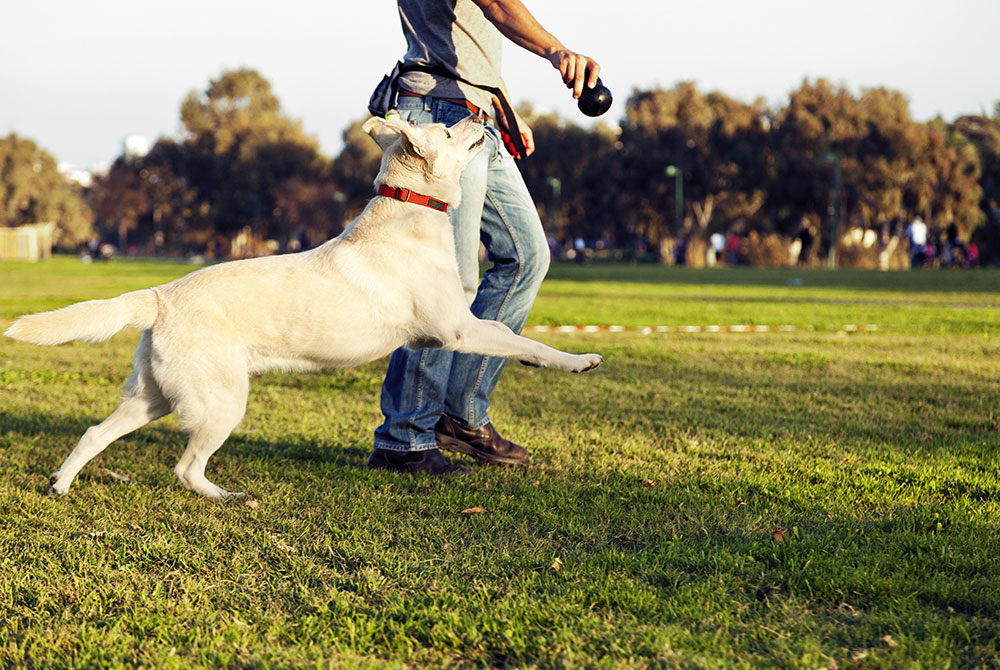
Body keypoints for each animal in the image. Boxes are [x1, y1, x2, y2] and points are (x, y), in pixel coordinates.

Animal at [5, 117, 600, 498]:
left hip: (153, 398)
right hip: (221, 402)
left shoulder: (448, 332)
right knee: (185, 467)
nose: (482, 114)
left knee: (94, 433)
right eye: (450, 131)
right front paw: (577, 361)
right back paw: (224, 497)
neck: (409, 211)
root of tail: (159, 295)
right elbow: (520, 338)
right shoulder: (458, 329)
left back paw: (61, 485)